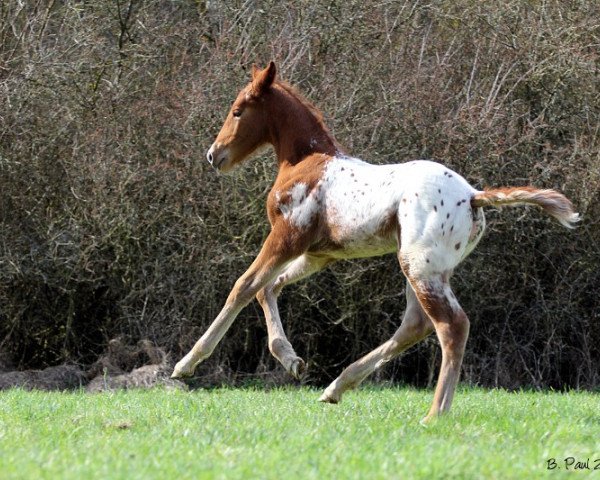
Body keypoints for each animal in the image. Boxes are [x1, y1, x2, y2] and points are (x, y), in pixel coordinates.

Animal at [171, 62, 580, 422]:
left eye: (238, 110)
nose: (213, 155)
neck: (306, 162)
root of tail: (472, 197)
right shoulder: (320, 254)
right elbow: (269, 287)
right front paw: (292, 361)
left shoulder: (287, 237)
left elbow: (244, 286)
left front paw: (186, 364)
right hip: (425, 267)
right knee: (416, 325)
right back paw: (336, 387)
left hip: (418, 267)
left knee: (451, 326)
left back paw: (434, 414)